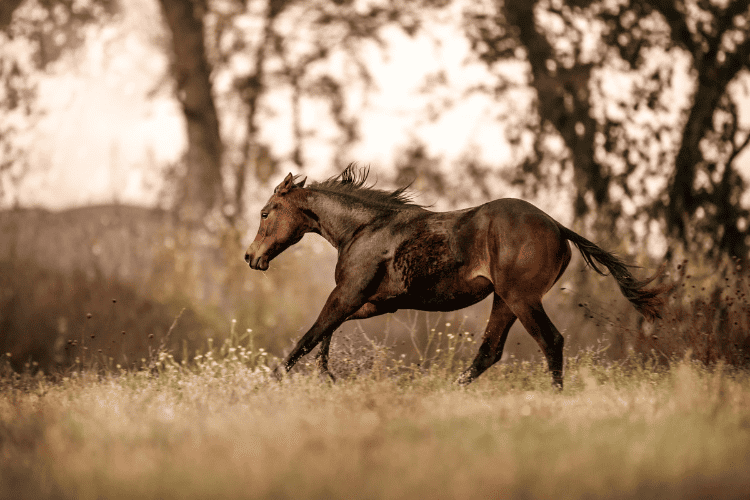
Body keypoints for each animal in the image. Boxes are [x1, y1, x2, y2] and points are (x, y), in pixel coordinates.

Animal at [245, 164, 668, 386]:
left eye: (266, 212)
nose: (251, 257)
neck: (364, 228)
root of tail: (558, 227)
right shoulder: (374, 302)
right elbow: (326, 332)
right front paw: (326, 375)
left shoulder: (348, 293)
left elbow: (310, 334)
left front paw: (272, 380)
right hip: (505, 300)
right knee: (489, 352)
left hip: (521, 298)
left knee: (551, 341)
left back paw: (555, 395)